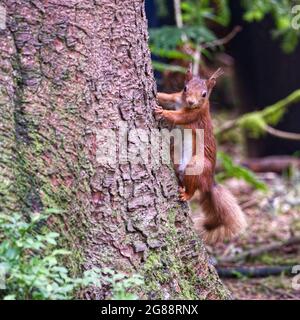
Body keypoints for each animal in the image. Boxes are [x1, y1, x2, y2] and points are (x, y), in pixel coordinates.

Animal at [154, 66, 247, 244]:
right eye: (185, 88)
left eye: (204, 94)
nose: (191, 102)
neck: (185, 105)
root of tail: (210, 182)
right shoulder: (175, 98)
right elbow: (165, 96)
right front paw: (156, 95)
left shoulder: (194, 116)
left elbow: (179, 116)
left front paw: (162, 111)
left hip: (197, 164)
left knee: (193, 189)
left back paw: (185, 194)